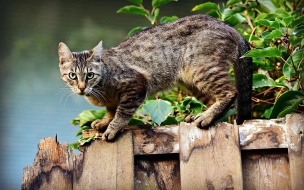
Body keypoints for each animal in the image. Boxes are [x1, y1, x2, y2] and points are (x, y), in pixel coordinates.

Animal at [57, 14, 252, 141]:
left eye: (90, 75)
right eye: (72, 75)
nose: (81, 87)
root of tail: (231, 28)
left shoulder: (136, 85)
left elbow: (121, 112)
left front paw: (112, 128)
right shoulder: (112, 101)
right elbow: (111, 110)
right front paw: (105, 121)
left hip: (202, 70)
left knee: (230, 92)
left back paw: (206, 116)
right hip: (191, 81)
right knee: (213, 99)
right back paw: (201, 115)